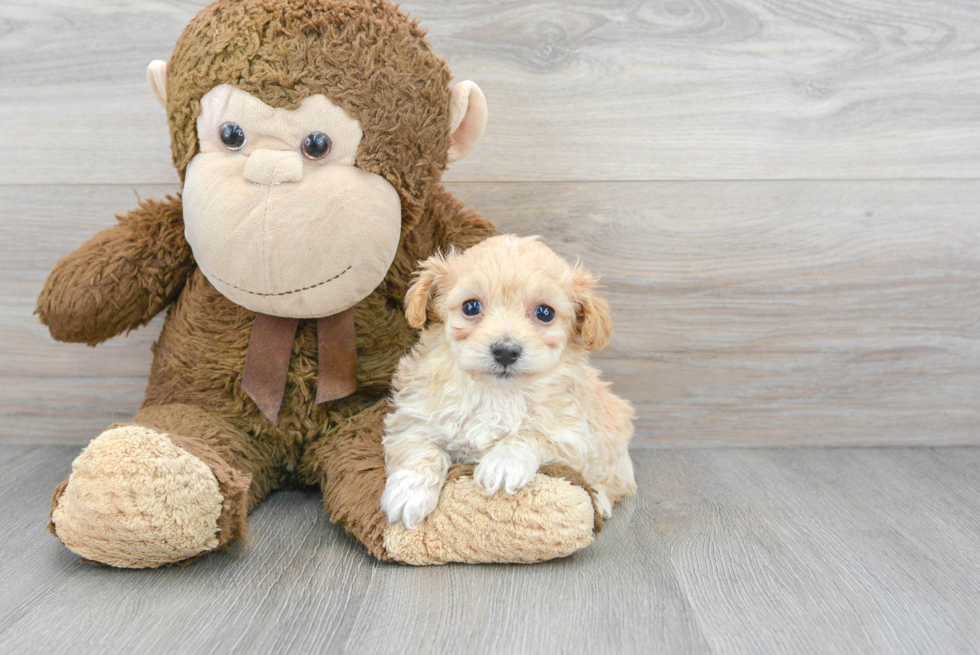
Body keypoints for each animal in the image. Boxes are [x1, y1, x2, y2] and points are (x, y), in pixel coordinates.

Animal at [378, 233, 640, 532]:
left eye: (545, 313)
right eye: (471, 307)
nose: (505, 351)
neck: (495, 394)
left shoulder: (573, 438)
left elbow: (533, 435)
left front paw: (502, 463)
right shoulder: (414, 419)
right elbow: (420, 451)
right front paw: (408, 493)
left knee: (616, 482)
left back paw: (602, 501)